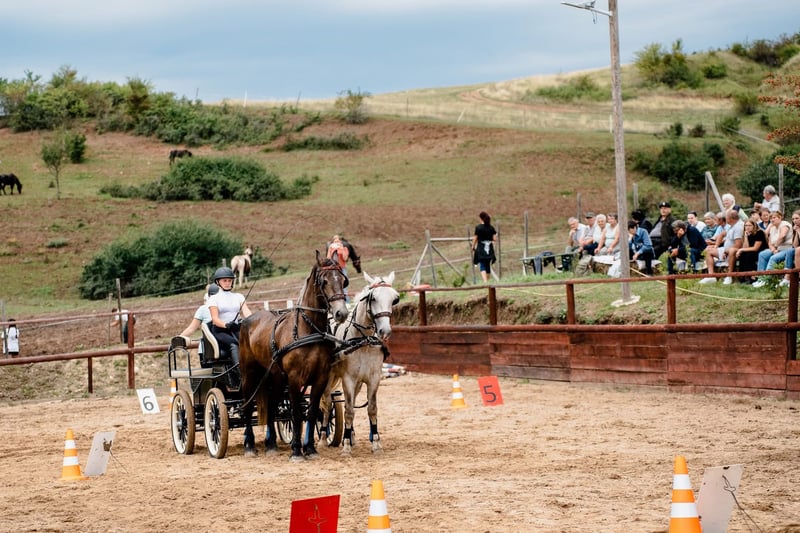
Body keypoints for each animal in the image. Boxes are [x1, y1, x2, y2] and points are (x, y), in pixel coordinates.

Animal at [237, 251, 350, 461]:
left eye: (342, 280)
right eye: (324, 281)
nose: (341, 313)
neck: (308, 329)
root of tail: (246, 320)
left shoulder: (320, 378)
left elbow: (312, 412)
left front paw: (310, 448)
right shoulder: (295, 379)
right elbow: (296, 413)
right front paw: (297, 450)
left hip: (275, 378)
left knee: (272, 406)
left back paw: (271, 444)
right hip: (249, 375)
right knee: (247, 407)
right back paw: (249, 445)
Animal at [320, 271, 399, 455]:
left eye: (394, 299)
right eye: (373, 298)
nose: (385, 331)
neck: (364, 341)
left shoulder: (373, 379)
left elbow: (371, 409)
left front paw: (375, 443)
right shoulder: (348, 379)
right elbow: (349, 411)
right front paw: (346, 446)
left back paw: (351, 435)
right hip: (329, 378)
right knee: (326, 403)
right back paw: (323, 437)